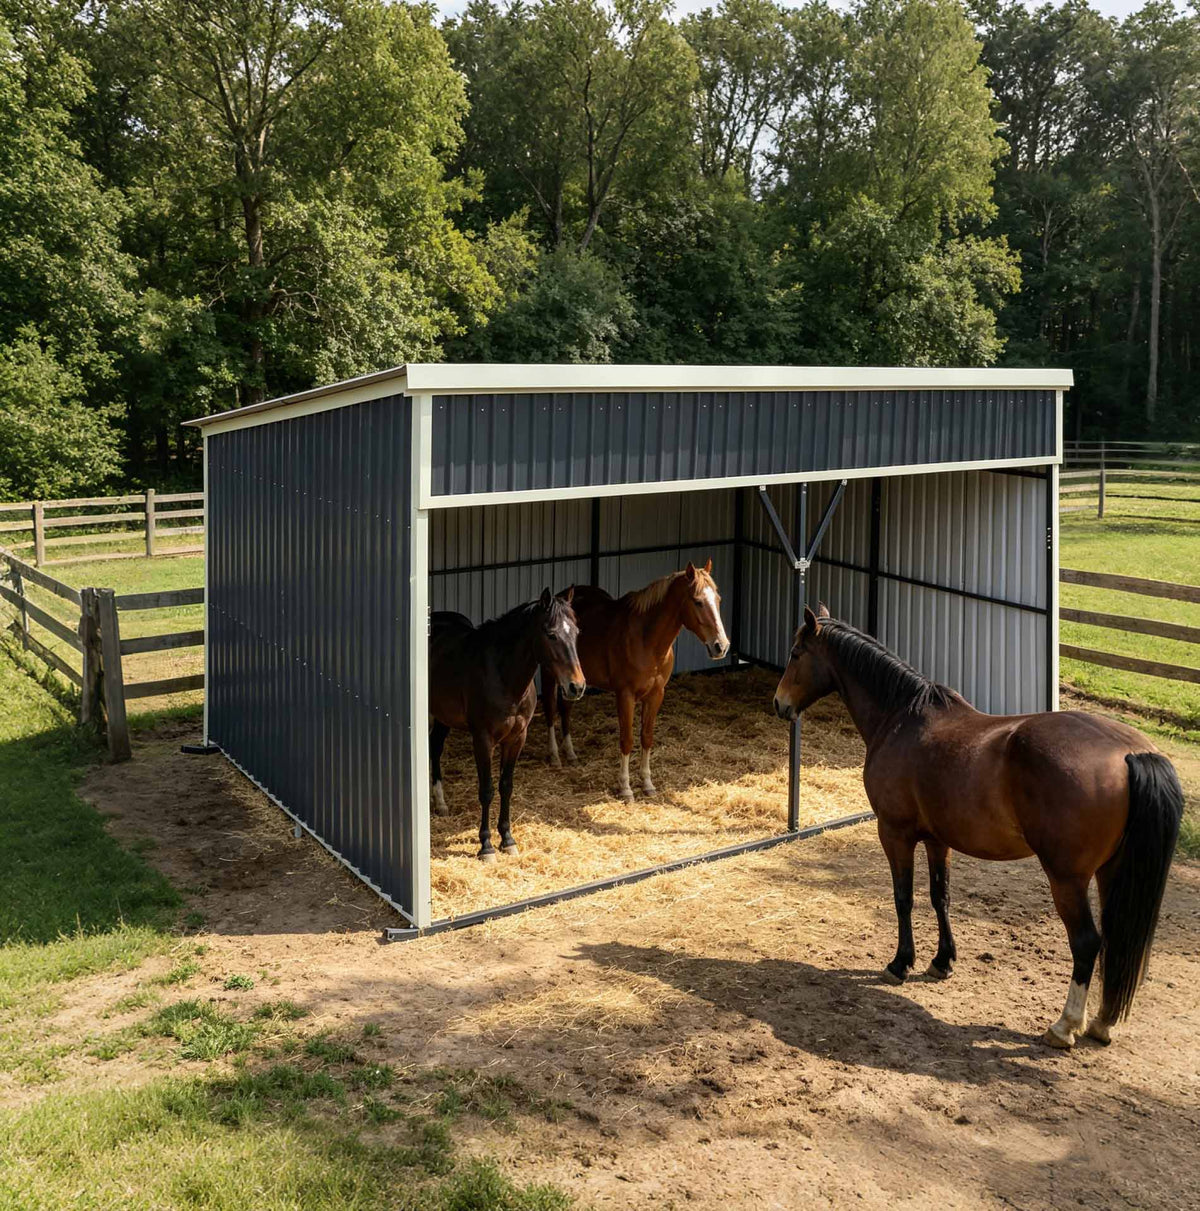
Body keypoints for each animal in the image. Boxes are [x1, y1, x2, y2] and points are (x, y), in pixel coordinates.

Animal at [429, 588, 585, 861]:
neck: (503, 676)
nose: (576, 686)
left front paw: (508, 840)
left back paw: (440, 803)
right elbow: (487, 789)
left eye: (576, 632)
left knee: (435, 747)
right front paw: (486, 846)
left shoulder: (516, 738)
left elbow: (506, 786)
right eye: (551, 634)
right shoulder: (482, 739)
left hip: (442, 717)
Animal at [542, 560, 730, 801]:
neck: (645, 640)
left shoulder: (656, 694)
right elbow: (627, 739)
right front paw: (625, 788)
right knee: (550, 711)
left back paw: (571, 754)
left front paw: (648, 784)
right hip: (551, 675)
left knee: (565, 709)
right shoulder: (625, 695)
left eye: (718, 600)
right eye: (697, 601)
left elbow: (646, 737)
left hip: (573, 681)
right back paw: (555, 757)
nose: (721, 646)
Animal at [773, 604, 1183, 1049]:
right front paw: (941, 961)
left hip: (1067, 878)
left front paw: (900, 963)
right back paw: (1102, 1023)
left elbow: (903, 898)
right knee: (1116, 939)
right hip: (1113, 872)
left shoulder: (895, 833)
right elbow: (940, 897)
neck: (900, 718)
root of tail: (1132, 753)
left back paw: (1064, 1026)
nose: (779, 704)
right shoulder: (938, 840)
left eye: (796, 653)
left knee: (1087, 942)